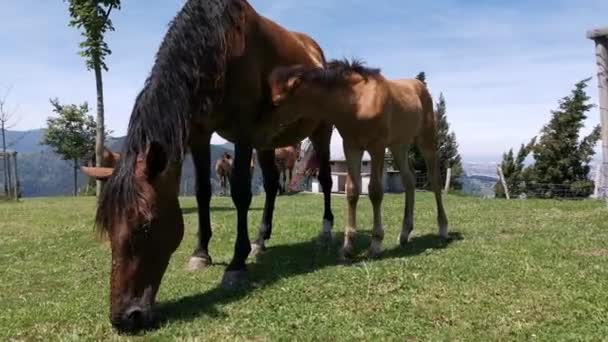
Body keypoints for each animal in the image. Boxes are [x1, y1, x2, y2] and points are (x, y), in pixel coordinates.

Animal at [79, 0, 334, 332]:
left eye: (145, 226)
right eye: (108, 226)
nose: (124, 317)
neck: (218, 42)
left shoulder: (243, 130)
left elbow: (241, 193)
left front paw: (236, 265)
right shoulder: (199, 133)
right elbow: (202, 192)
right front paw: (201, 253)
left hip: (321, 130)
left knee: (326, 180)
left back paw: (326, 231)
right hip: (267, 141)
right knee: (270, 185)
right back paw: (261, 240)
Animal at [264, 59, 448, 262]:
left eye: (277, 101)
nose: (264, 133)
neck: (358, 102)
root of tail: (420, 86)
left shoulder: (377, 147)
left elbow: (375, 191)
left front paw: (375, 245)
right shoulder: (351, 147)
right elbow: (352, 191)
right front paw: (348, 247)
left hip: (426, 140)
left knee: (435, 180)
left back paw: (443, 229)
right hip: (398, 145)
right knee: (409, 180)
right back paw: (405, 233)